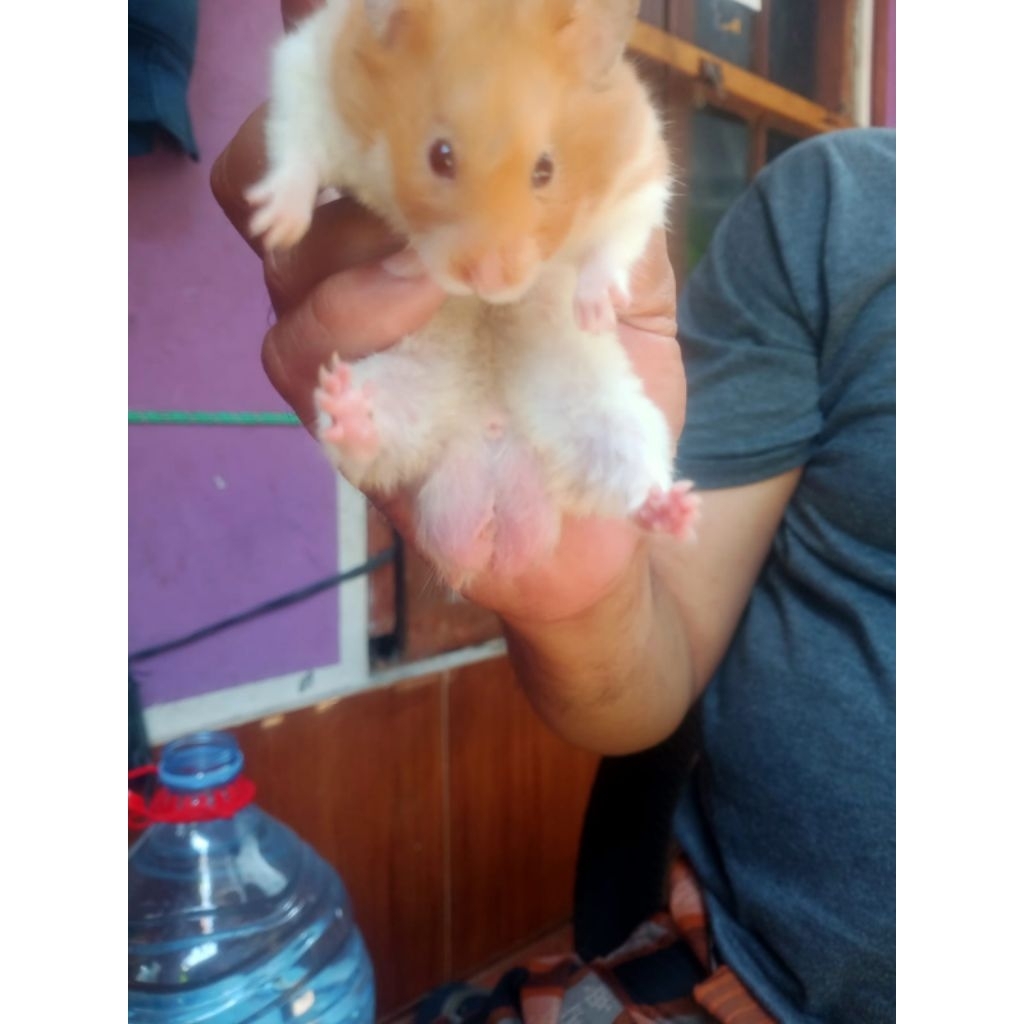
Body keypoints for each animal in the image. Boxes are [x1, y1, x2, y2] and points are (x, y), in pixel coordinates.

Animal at [248, 0, 699, 585]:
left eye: (545, 169)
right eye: (439, 156)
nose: (491, 282)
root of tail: (492, 464)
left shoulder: (640, 164)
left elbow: (616, 240)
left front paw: (596, 312)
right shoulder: (312, 75)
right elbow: (297, 150)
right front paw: (275, 227)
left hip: (615, 423)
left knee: (626, 485)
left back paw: (676, 509)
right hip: (406, 398)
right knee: (368, 444)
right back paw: (348, 409)